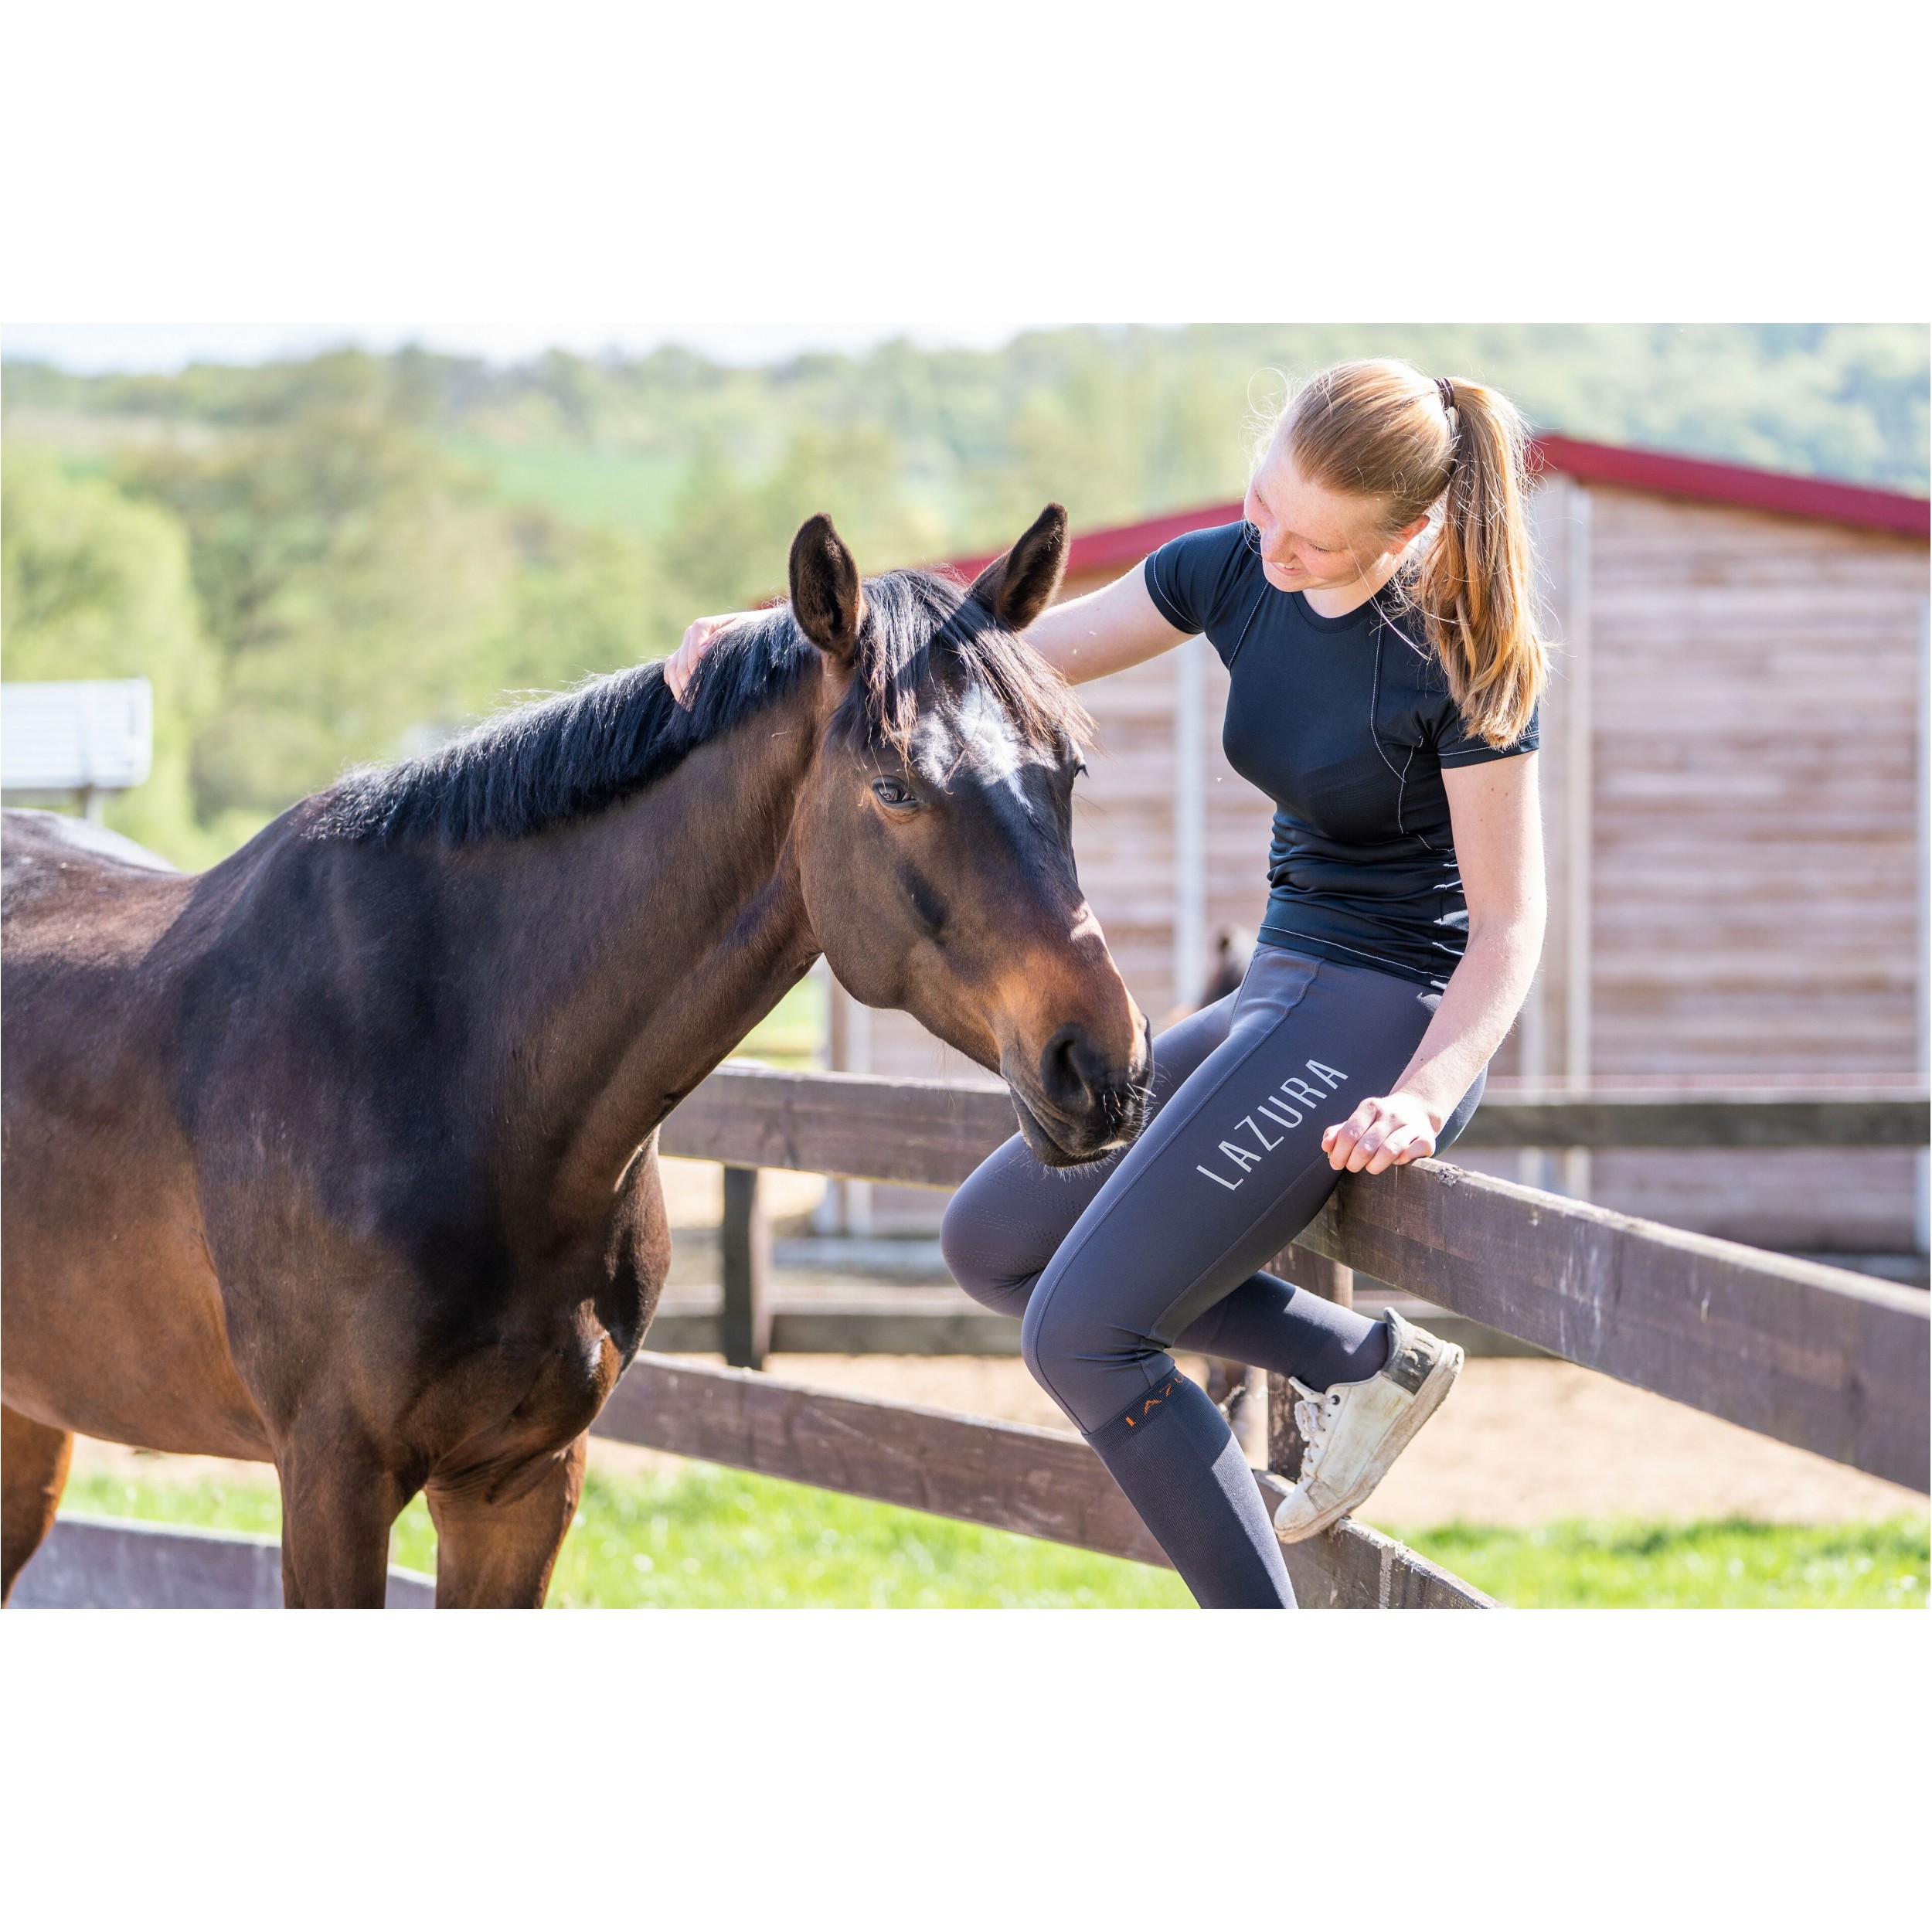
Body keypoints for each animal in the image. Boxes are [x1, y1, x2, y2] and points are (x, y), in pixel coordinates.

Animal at [0, 510, 1144, 1600]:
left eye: (1069, 769)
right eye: (897, 786)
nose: (1104, 1067)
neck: (451, 1063)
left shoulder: (523, 1483)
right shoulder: (332, 1480)